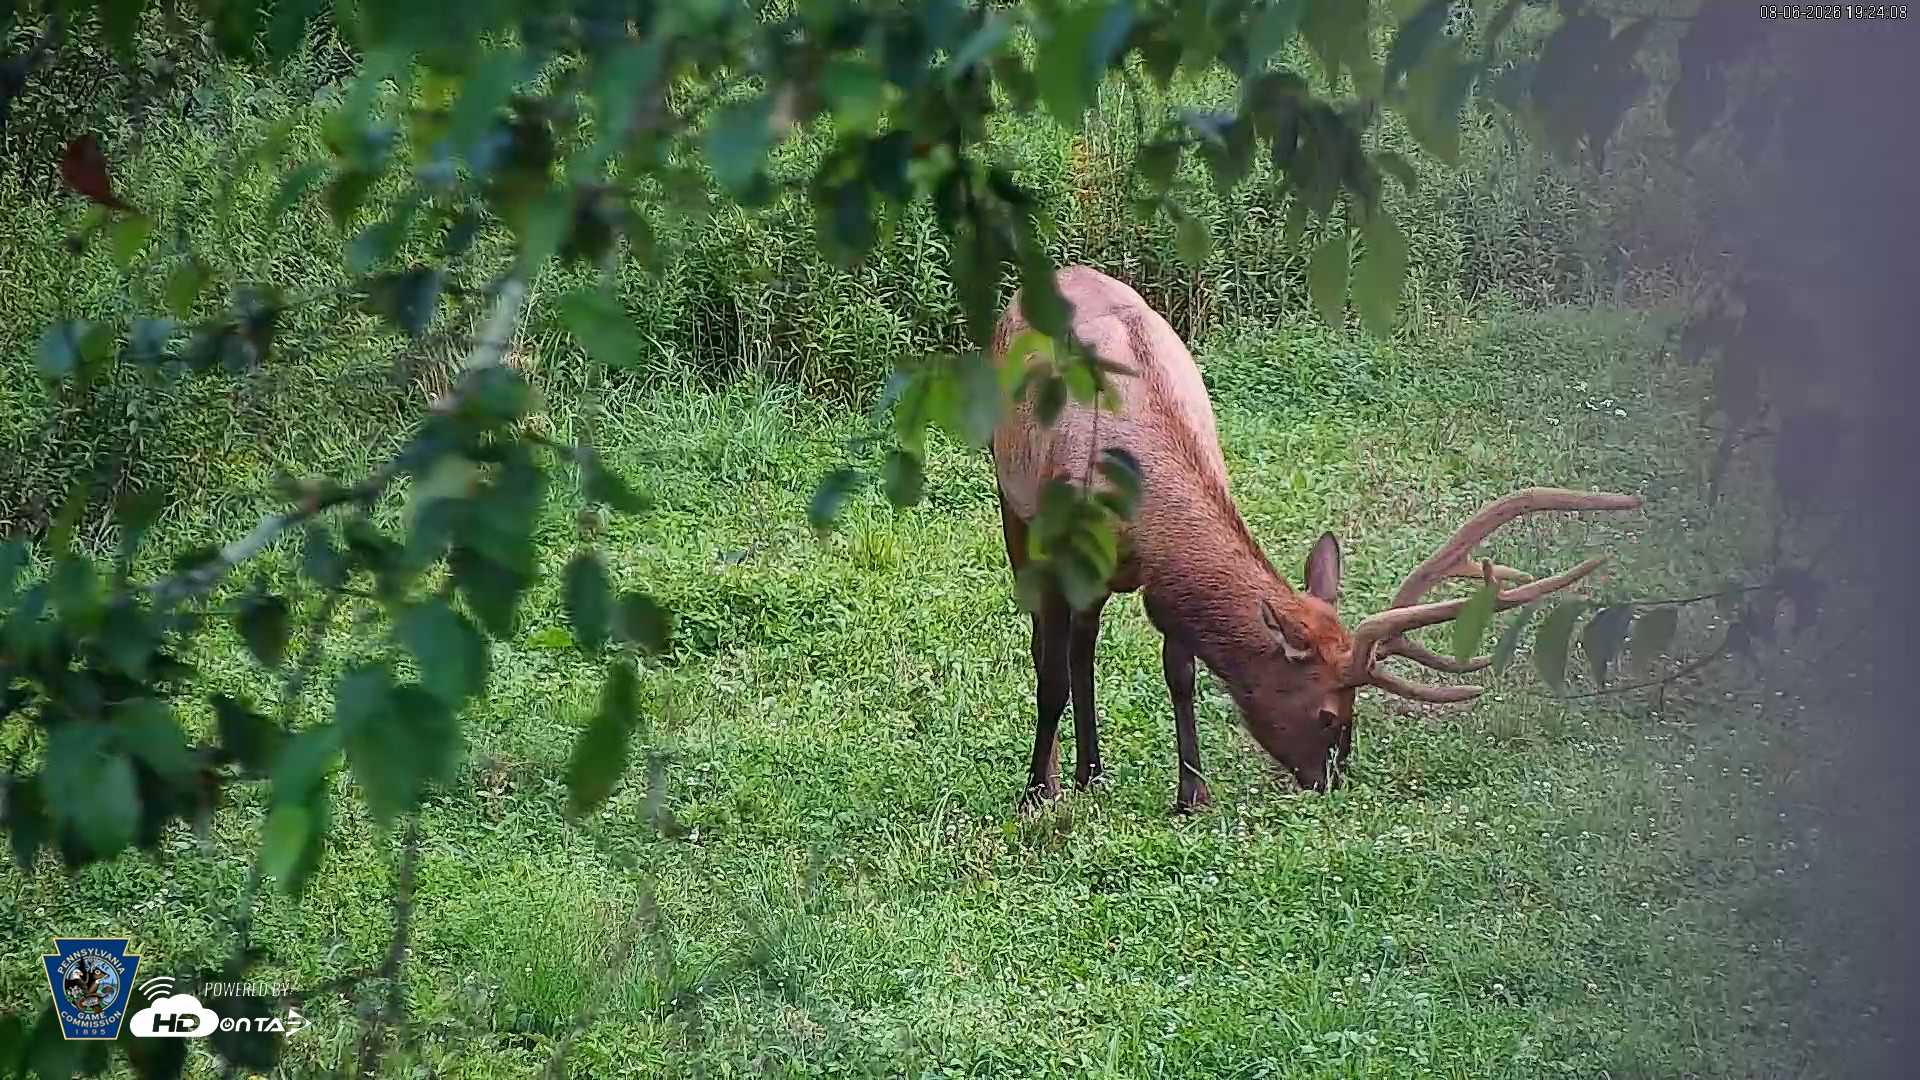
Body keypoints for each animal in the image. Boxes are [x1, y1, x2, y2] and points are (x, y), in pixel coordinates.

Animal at [989, 265, 1642, 812]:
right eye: (1328, 715)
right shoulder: (1062, 545)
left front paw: (1192, 794)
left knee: (1084, 644)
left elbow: (1181, 672)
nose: (1329, 780)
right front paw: (1034, 794)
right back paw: (1066, 776)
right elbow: (1049, 674)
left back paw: (1092, 773)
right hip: (1011, 498)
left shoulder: (1164, 575)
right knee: (1054, 646)